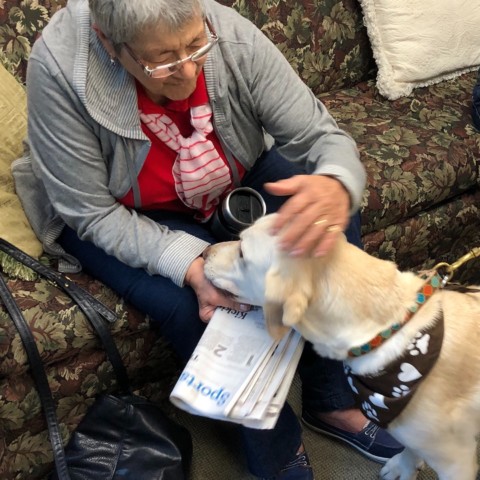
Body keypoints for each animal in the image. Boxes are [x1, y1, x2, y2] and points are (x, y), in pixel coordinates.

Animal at [203, 215, 480, 480]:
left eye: (242, 252)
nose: (204, 252)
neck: (390, 329)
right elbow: (410, 451)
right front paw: (403, 467)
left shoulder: (457, 462)